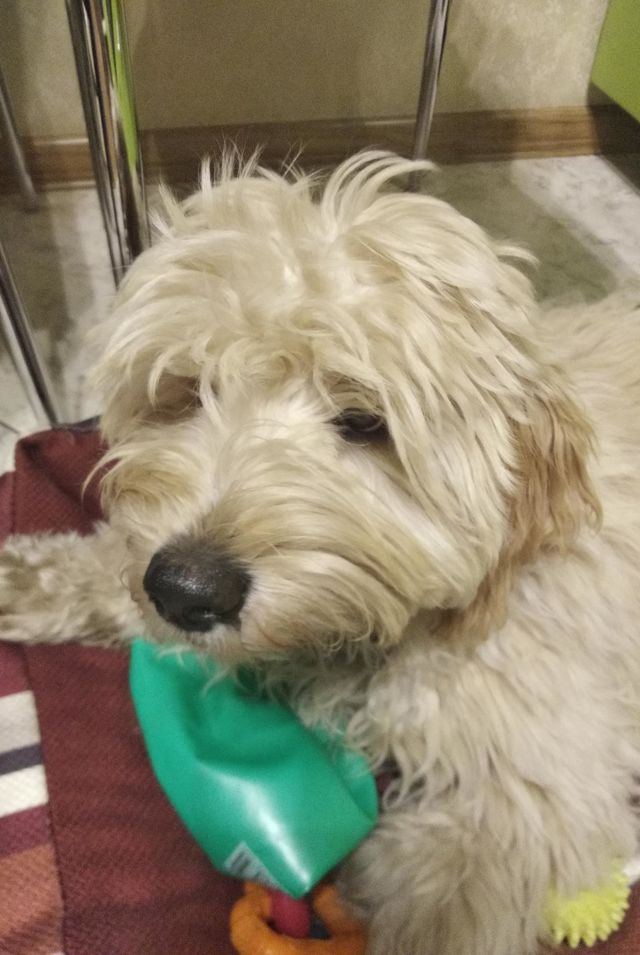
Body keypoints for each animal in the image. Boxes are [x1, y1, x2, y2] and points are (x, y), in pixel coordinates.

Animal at [2, 151, 640, 955]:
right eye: (188, 390)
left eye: (365, 421)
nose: (186, 589)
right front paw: (30, 576)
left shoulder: (543, 786)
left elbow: (448, 898)